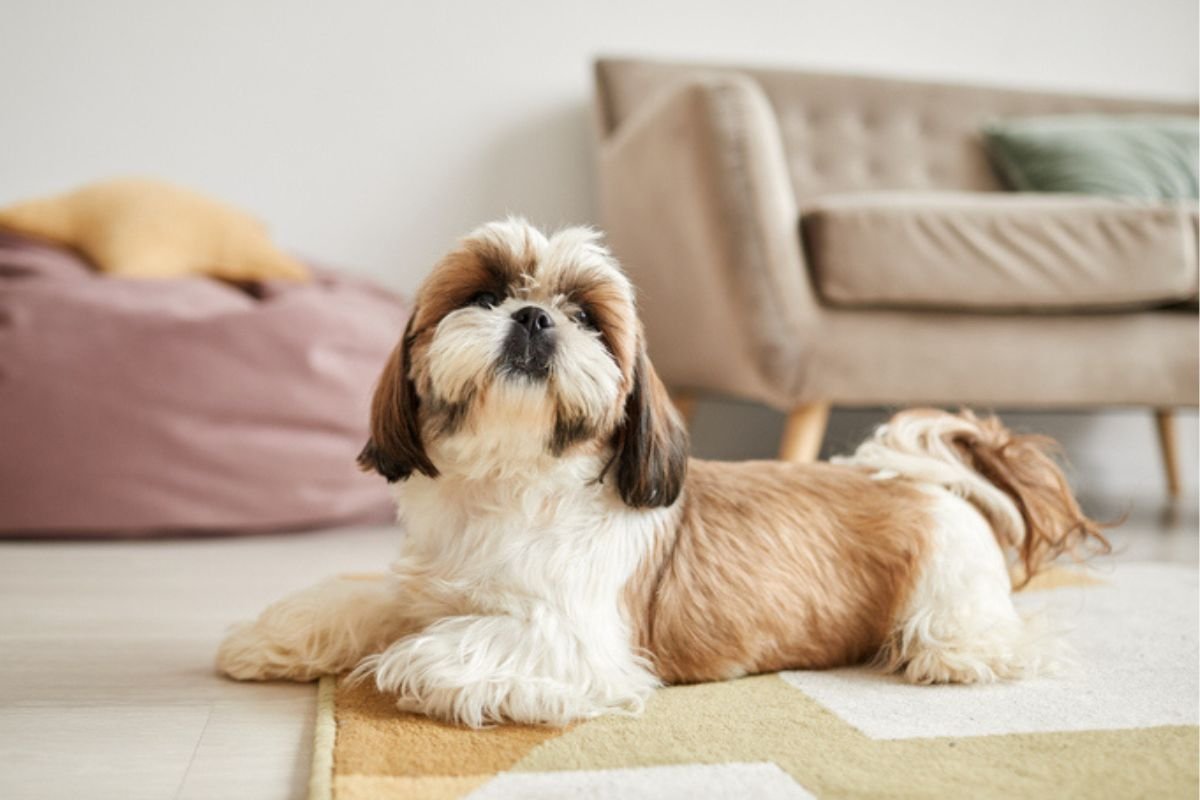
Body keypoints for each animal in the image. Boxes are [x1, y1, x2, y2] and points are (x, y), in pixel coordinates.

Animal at [216, 217, 1104, 724]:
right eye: (487, 294)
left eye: (584, 316)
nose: (533, 317)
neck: (513, 486)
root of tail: (931, 482)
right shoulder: (425, 585)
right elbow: (367, 600)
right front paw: (276, 637)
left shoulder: (575, 639)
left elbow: (449, 642)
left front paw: (409, 664)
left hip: (948, 604)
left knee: (968, 642)